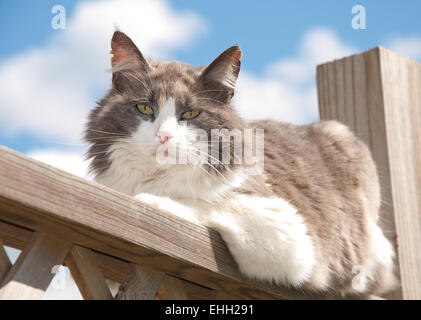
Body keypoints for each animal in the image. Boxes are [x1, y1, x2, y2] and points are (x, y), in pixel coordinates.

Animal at [85, 30, 398, 298]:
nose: (164, 136)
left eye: (191, 113)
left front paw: (152, 200)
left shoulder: (290, 232)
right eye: (144, 108)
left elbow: (203, 202)